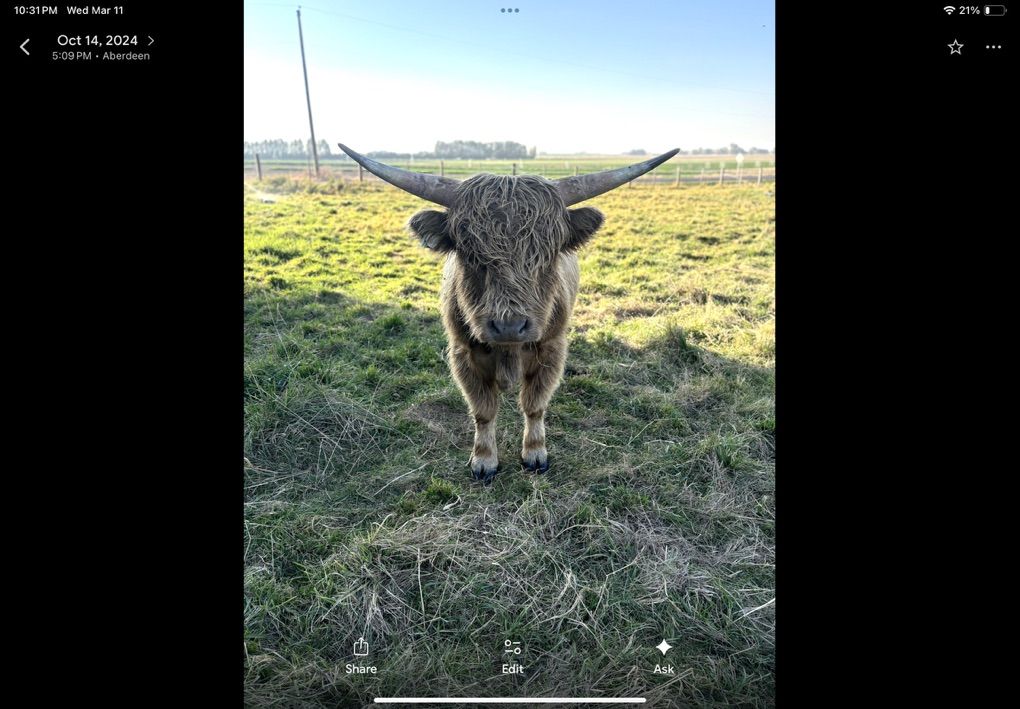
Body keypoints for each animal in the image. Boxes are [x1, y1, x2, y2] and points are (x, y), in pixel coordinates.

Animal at [338, 144, 679, 483]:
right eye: (470, 254)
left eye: (547, 254)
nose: (509, 326)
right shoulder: (463, 354)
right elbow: (484, 410)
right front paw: (484, 459)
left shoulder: (551, 349)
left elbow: (534, 405)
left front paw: (535, 453)